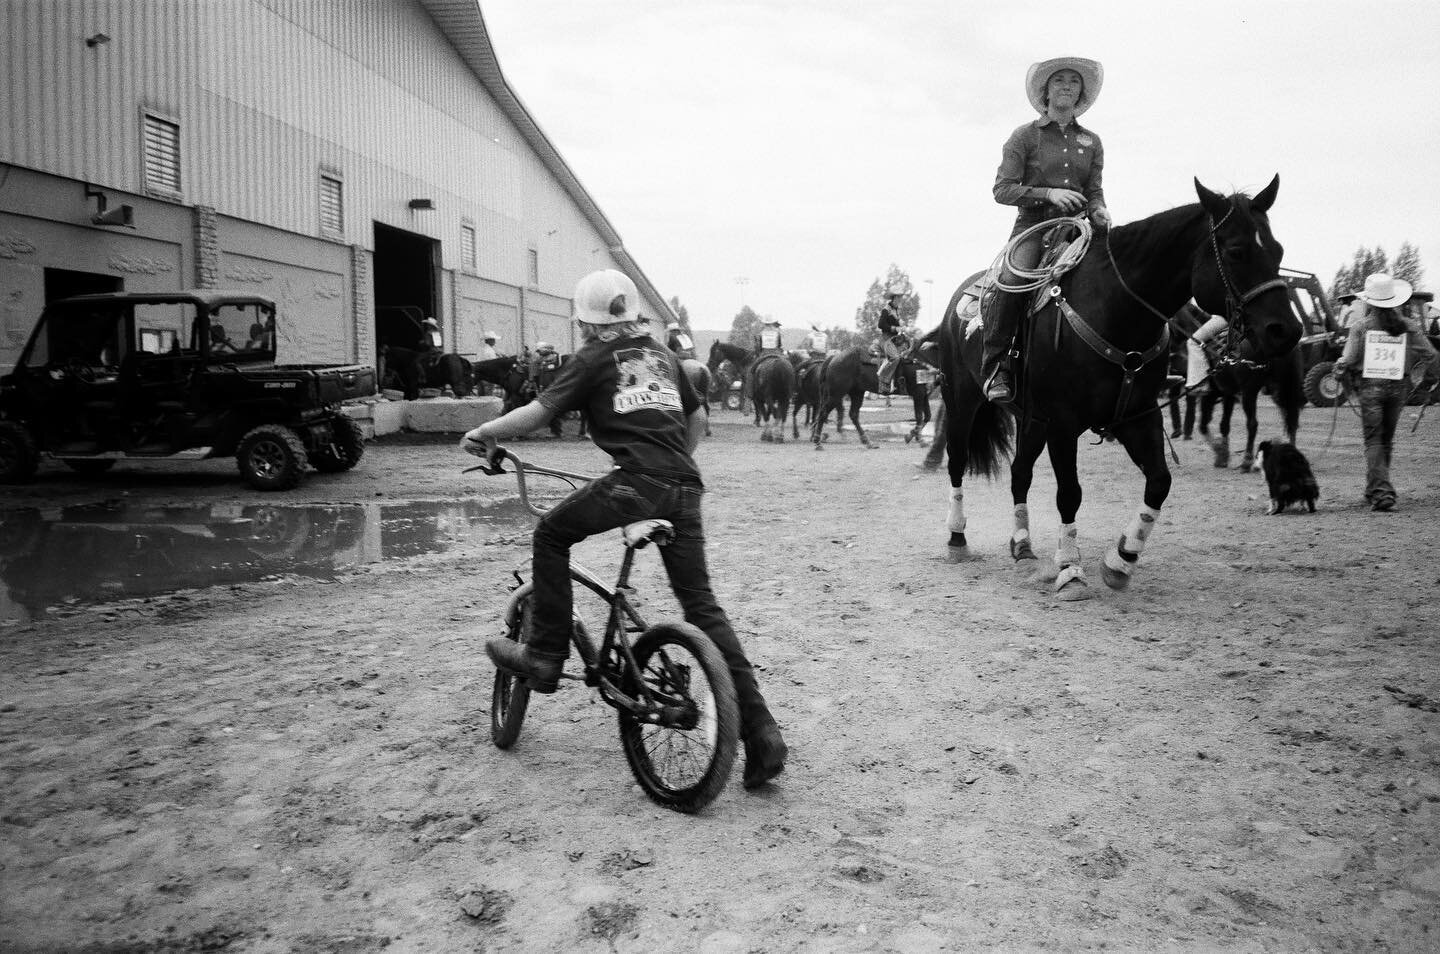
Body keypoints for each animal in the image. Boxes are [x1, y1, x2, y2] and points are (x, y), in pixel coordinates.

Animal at [933, 175, 1307, 602]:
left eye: (1278, 250)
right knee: (958, 463)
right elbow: (1070, 493)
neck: (1115, 310)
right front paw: (1070, 569)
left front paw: (1121, 561)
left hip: (1031, 421)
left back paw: (1023, 548)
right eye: (1236, 251)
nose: (1286, 330)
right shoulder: (1064, 424)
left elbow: (1159, 482)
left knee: (1019, 473)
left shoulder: (1137, 417)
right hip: (962, 404)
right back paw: (957, 539)